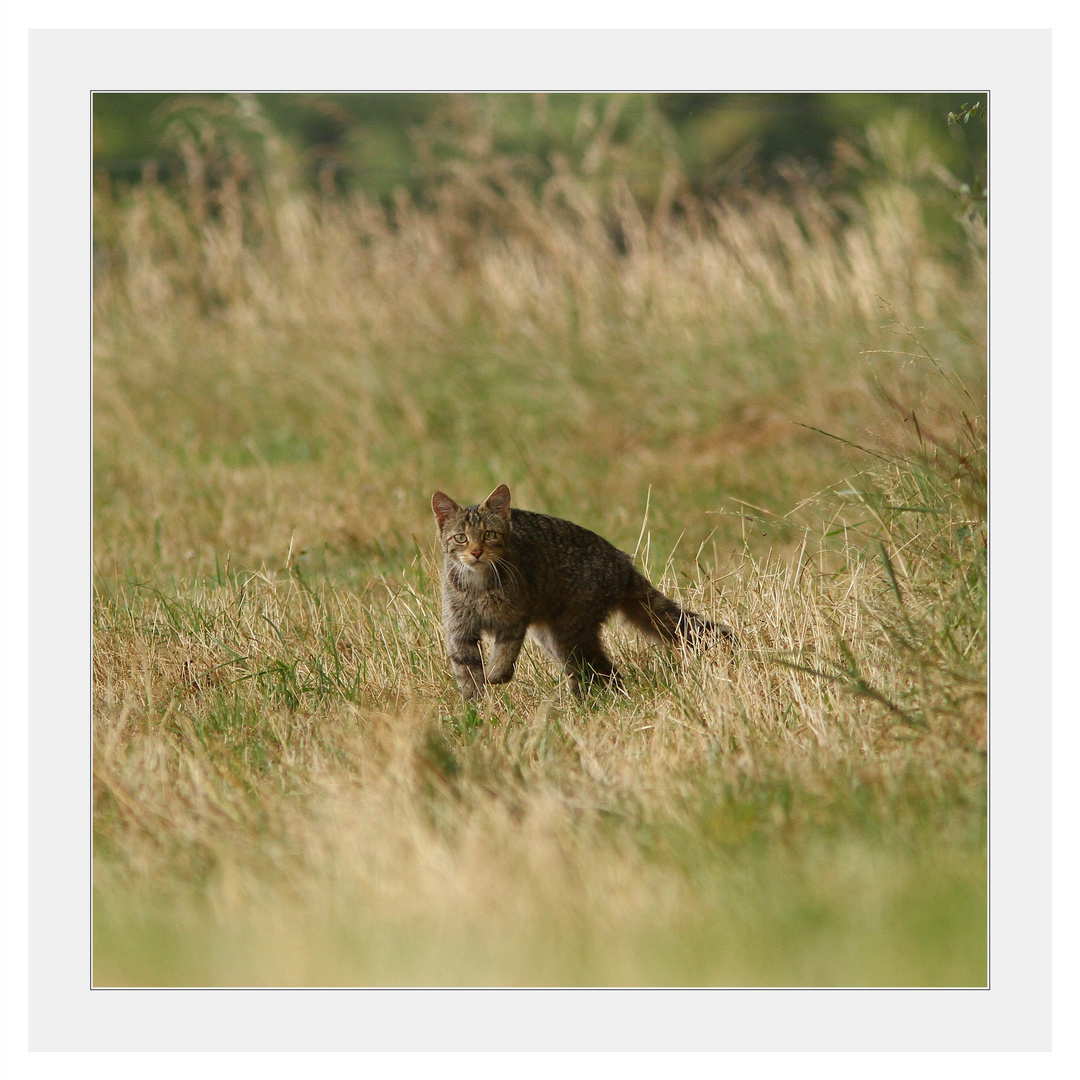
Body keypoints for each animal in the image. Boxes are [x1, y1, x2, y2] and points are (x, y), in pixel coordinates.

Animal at [429, 483, 734, 699]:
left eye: (490, 535)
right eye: (460, 538)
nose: (476, 552)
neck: (477, 584)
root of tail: (622, 561)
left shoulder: (514, 620)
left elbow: (504, 653)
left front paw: (495, 675)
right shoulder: (460, 631)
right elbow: (467, 674)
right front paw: (474, 711)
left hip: (568, 636)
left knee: (602, 673)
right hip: (556, 638)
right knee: (603, 674)